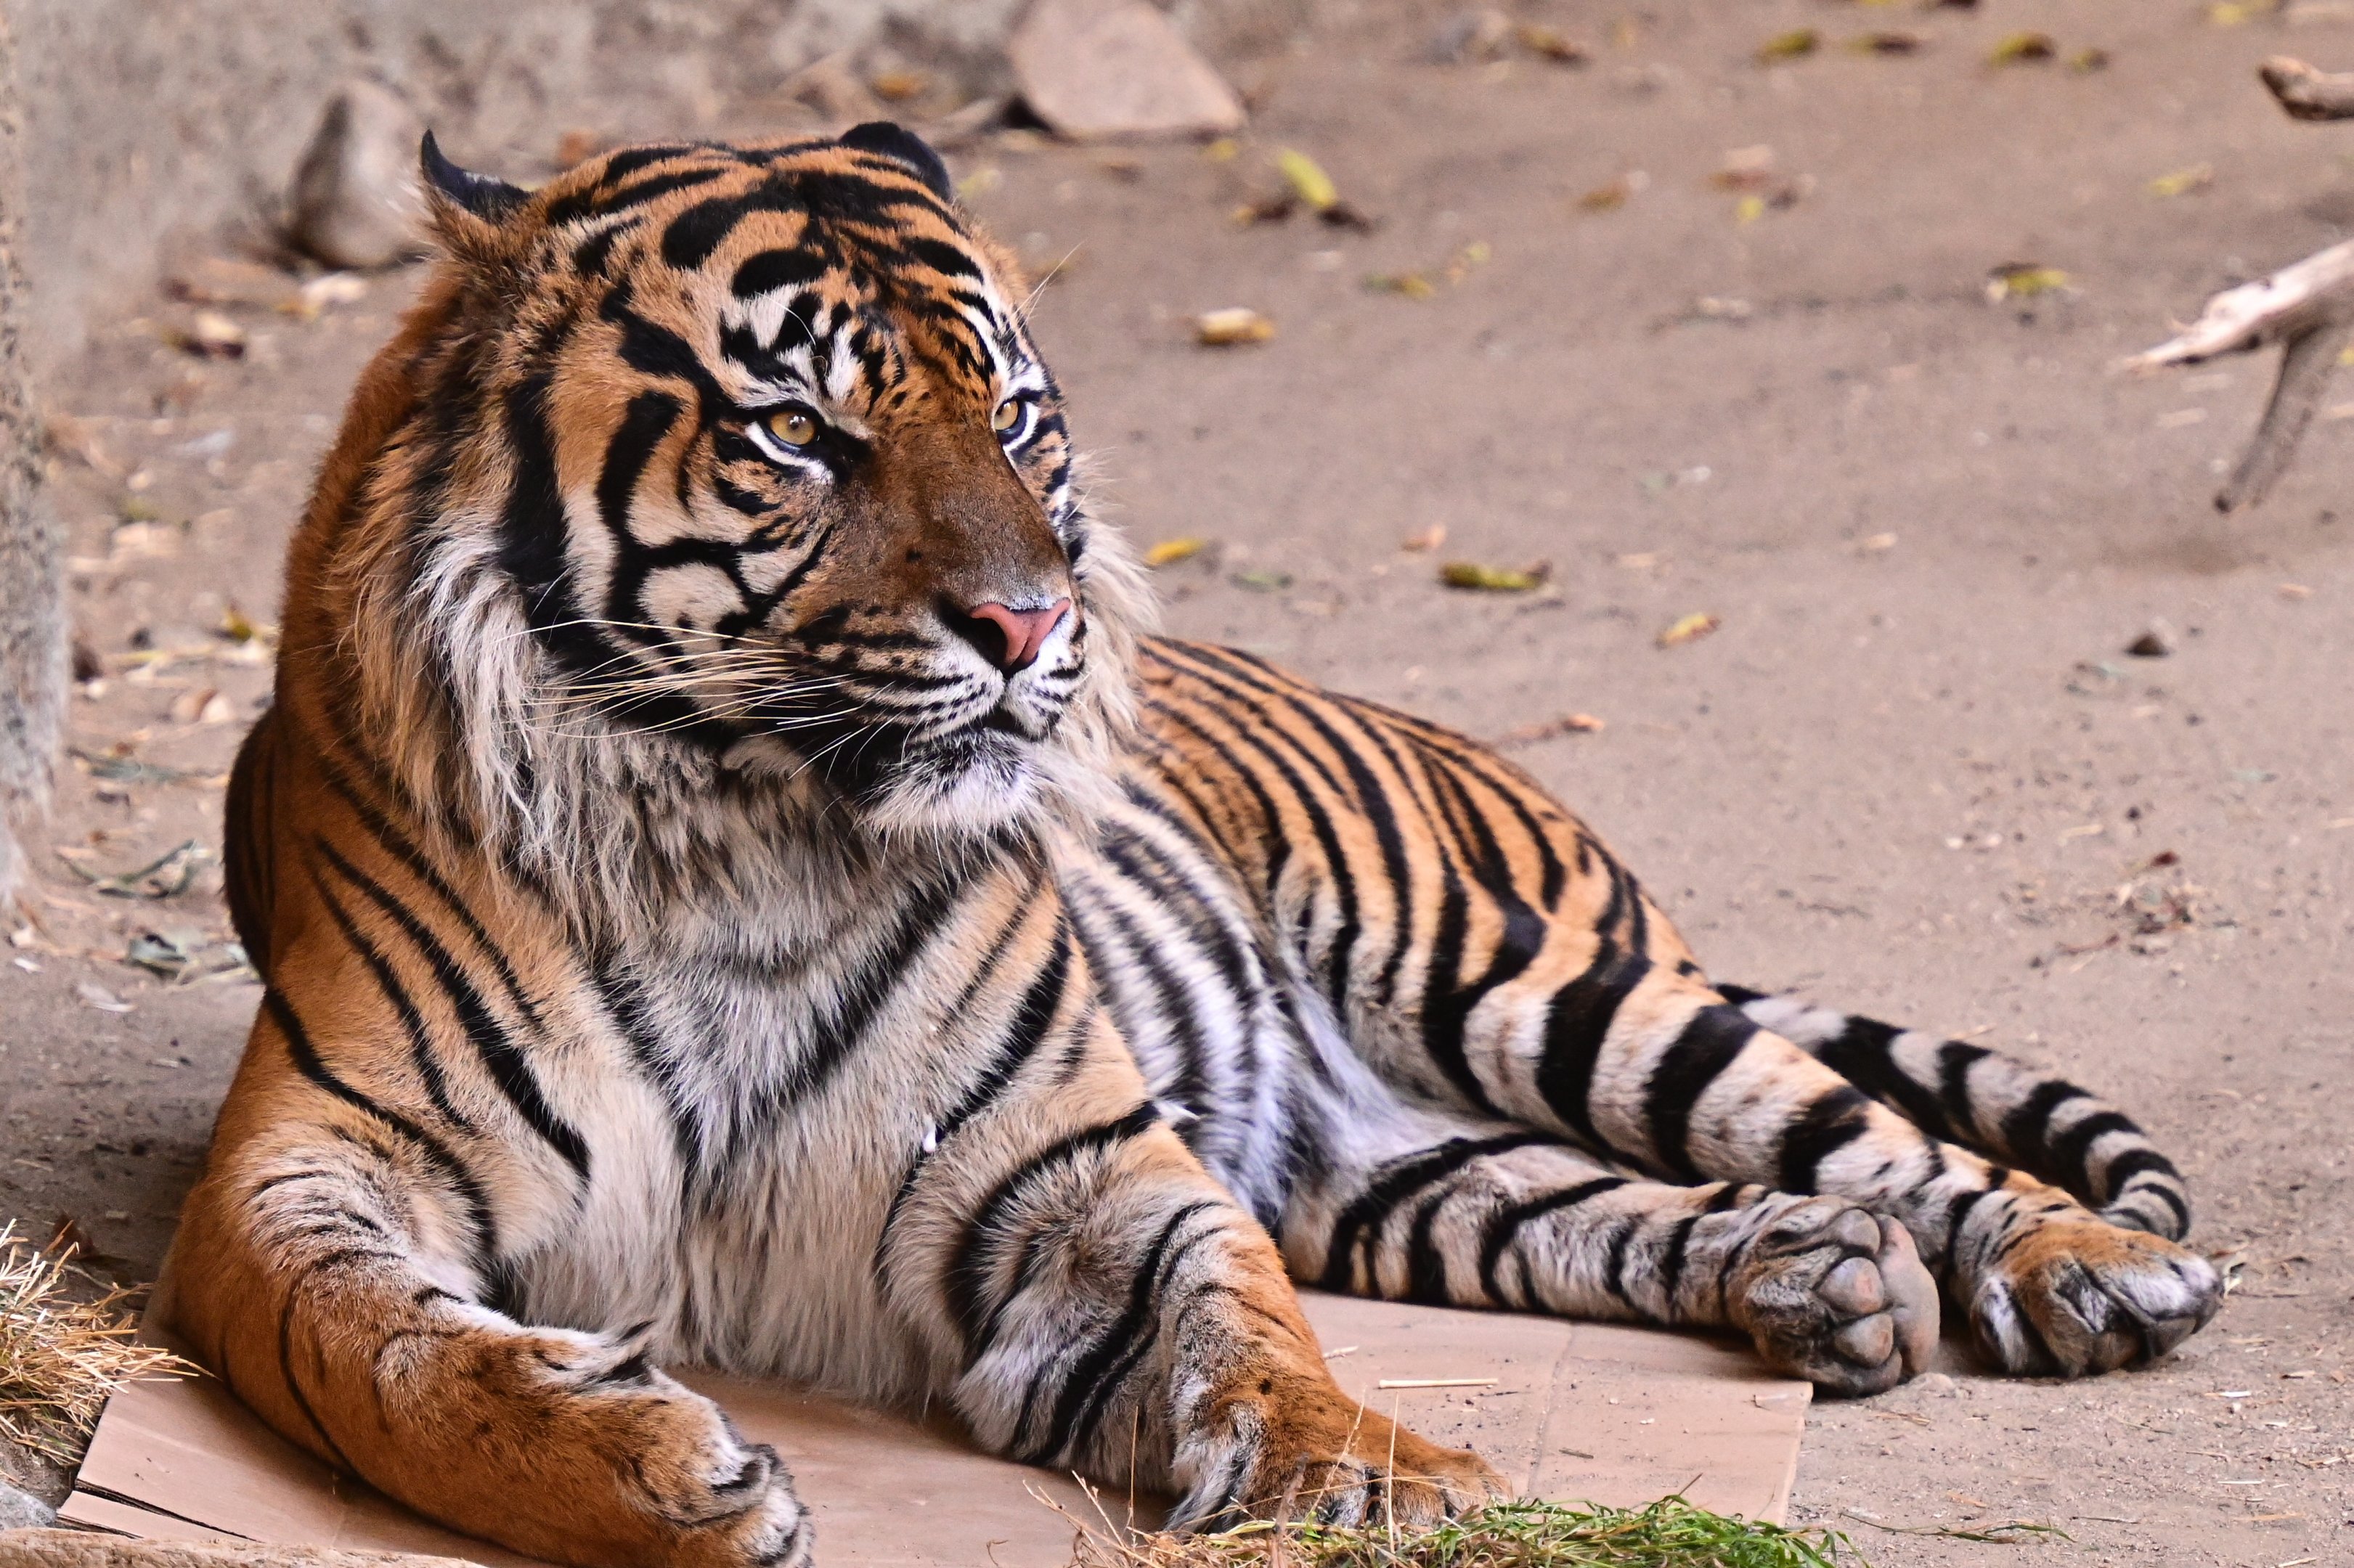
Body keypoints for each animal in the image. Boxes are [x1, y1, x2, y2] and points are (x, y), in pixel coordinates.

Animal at [155, 123, 2224, 1568]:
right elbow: (396, 1363)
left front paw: (1370, 1479)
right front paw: (652, 1475)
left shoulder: (1069, 1163)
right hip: (1393, 1165)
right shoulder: (308, 1168)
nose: (1030, 627)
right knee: (1607, 1205)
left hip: (1532, 985)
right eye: (797, 434)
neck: (744, 837)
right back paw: (1820, 1280)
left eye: (1014, 416)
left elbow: (1241, 1322)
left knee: (1880, 1138)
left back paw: (2078, 1269)